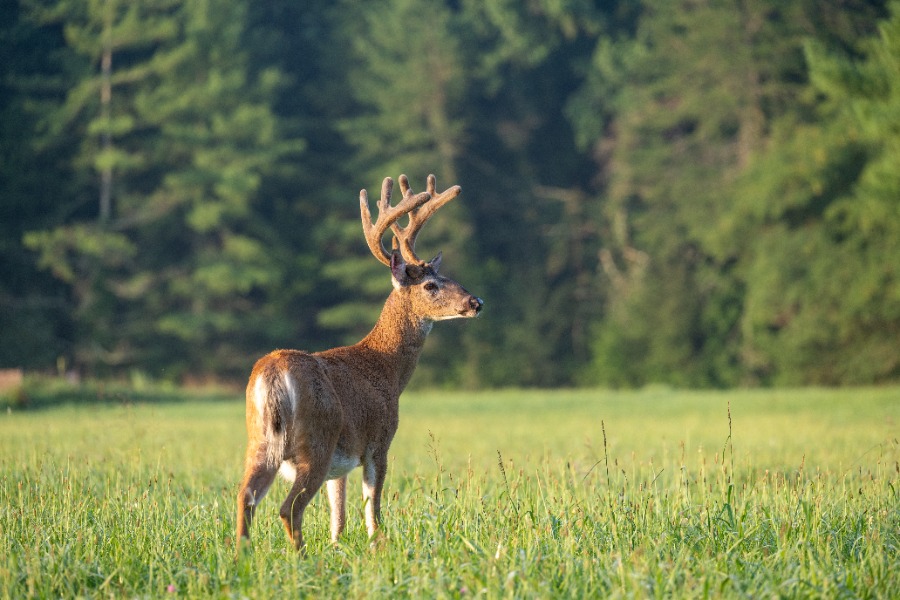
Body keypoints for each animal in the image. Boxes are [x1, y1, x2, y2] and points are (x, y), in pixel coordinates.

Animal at [236, 174, 483, 552]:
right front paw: (378, 547)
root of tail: (273, 372)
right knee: (288, 507)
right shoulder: (379, 440)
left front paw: (338, 548)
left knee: (245, 497)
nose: (476, 302)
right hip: (316, 441)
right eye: (431, 285)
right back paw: (300, 558)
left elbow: (338, 517)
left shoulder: (343, 460)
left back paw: (241, 556)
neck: (386, 369)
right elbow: (372, 508)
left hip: (260, 438)